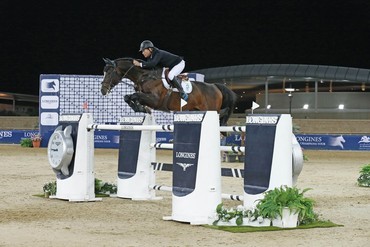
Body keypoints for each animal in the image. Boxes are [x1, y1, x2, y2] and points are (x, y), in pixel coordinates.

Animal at [99, 57, 237, 125]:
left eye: (109, 72)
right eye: (103, 72)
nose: (103, 90)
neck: (145, 76)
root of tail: (215, 86)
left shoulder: (155, 100)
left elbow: (133, 96)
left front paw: (141, 108)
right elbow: (128, 97)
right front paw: (141, 108)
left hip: (211, 109)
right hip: (196, 110)